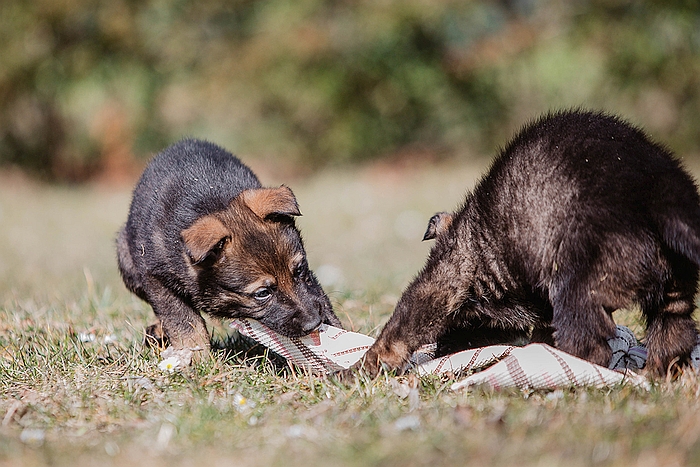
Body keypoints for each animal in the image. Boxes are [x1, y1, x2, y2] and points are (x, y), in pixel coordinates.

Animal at [117, 139, 342, 358]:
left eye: (300, 270)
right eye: (262, 293)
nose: (314, 322)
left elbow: (320, 297)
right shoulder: (156, 277)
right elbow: (182, 320)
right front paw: (196, 356)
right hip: (127, 261)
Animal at [348, 110, 700, 380]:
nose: (442, 350)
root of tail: (657, 190)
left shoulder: (449, 276)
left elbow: (404, 322)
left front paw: (364, 366)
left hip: (579, 286)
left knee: (588, 343)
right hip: (676, 287)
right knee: (674, 332)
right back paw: (655, 375)